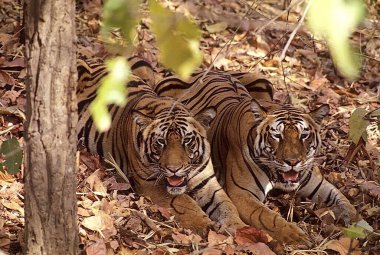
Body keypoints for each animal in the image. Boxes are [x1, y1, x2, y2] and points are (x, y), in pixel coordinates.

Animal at [75, 58, 246, 234]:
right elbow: (185, 202)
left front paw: (240, 229)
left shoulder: (207, 181)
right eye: (161, 142)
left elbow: (227, 205)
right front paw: (206, 226)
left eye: (186, 140)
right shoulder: (151, 184)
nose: (174, 169)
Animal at [153, 69, 358, 245]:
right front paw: (296, 236)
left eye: (304, 135)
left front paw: (358, 226)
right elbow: (269, 217)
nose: (292, 162)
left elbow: (343, 201)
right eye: (277, 135)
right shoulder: (242, 194)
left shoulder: (317, 183)